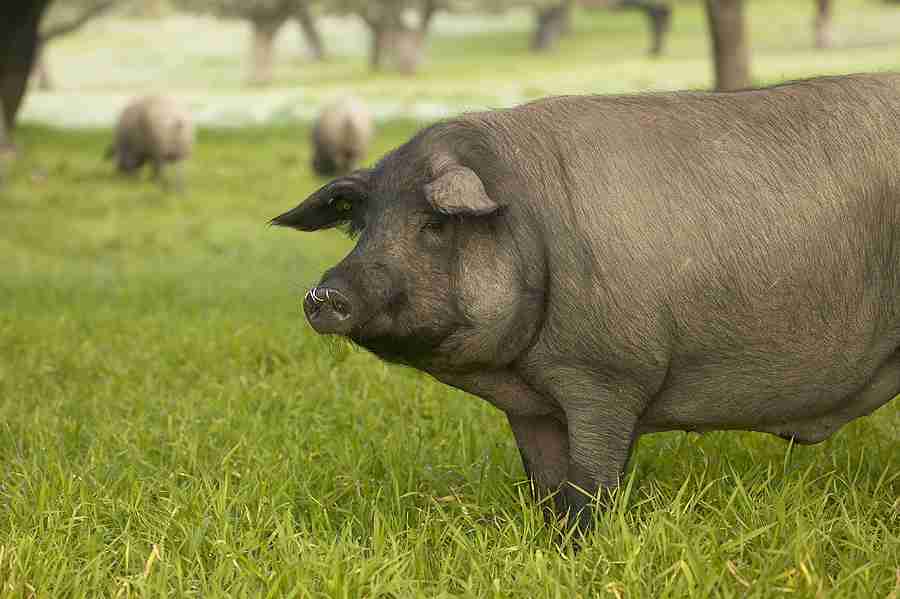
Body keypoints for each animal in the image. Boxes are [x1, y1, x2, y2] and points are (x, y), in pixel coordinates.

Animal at [272, 73, 900, 533]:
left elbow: (590, 485)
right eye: (360, 225)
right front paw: (547, 542)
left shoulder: (608, 374)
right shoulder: (531, 407)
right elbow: (544, 483)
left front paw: (580, 545)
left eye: (434, 224)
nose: (324, 294)